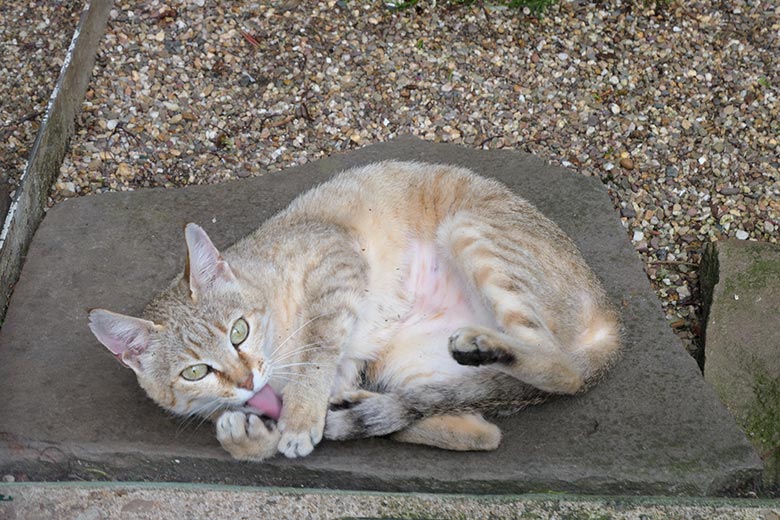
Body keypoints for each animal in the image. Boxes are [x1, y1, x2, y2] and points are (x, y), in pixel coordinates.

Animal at [87, 161, 620, 460]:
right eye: (195, 371)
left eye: (239, 331)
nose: (245, 380)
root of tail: (610, 321)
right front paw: (253, 436)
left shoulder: (338, 262)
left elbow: (318, 351)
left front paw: (299, 419)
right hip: (406, 364)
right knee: (476, 431)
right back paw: (355, 412)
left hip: (472, 234)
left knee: (561, 370)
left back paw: (483, 345)